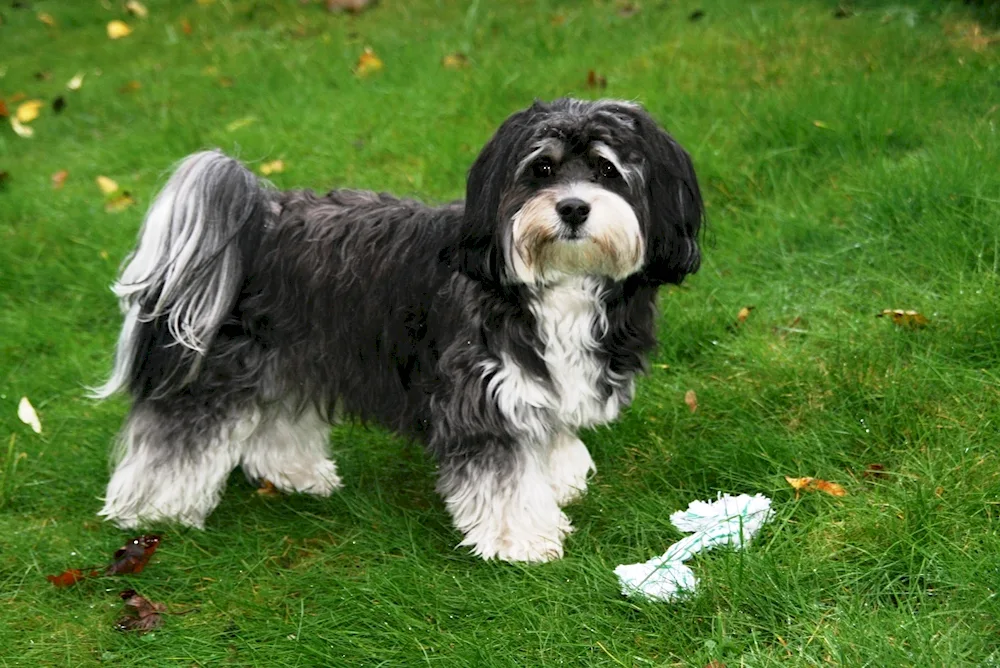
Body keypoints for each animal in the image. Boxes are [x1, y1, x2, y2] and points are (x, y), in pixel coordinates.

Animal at [94, 96, 704, 560]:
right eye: (543, 170)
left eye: (606, 170)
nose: (574, 208)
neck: (560, 286)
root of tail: (259, 221)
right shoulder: (480, 396)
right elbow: (503, 478)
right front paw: (522, 537)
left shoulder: (542, 386)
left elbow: (551, 438)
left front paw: (559, 481)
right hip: (218, 368)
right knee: (176, 437)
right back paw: (151, 508)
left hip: (292, 353)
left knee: (275, 416)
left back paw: (295, 473)